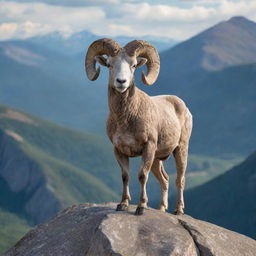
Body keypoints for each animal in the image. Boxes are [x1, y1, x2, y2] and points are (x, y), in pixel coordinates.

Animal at [85, 37, 192, 214]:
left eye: (134, 65)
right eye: (110, 64)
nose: (121, 82)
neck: (126, 119)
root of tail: (182, 105)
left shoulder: (148, 147)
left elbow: (142, 175)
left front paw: (141, 207)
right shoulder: (119, 151)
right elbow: (125, 176)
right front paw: (122, 204)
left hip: (180, 150)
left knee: (180, 179)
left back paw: (178, 210)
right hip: (157, 159)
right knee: (165, 179)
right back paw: (161, 209)